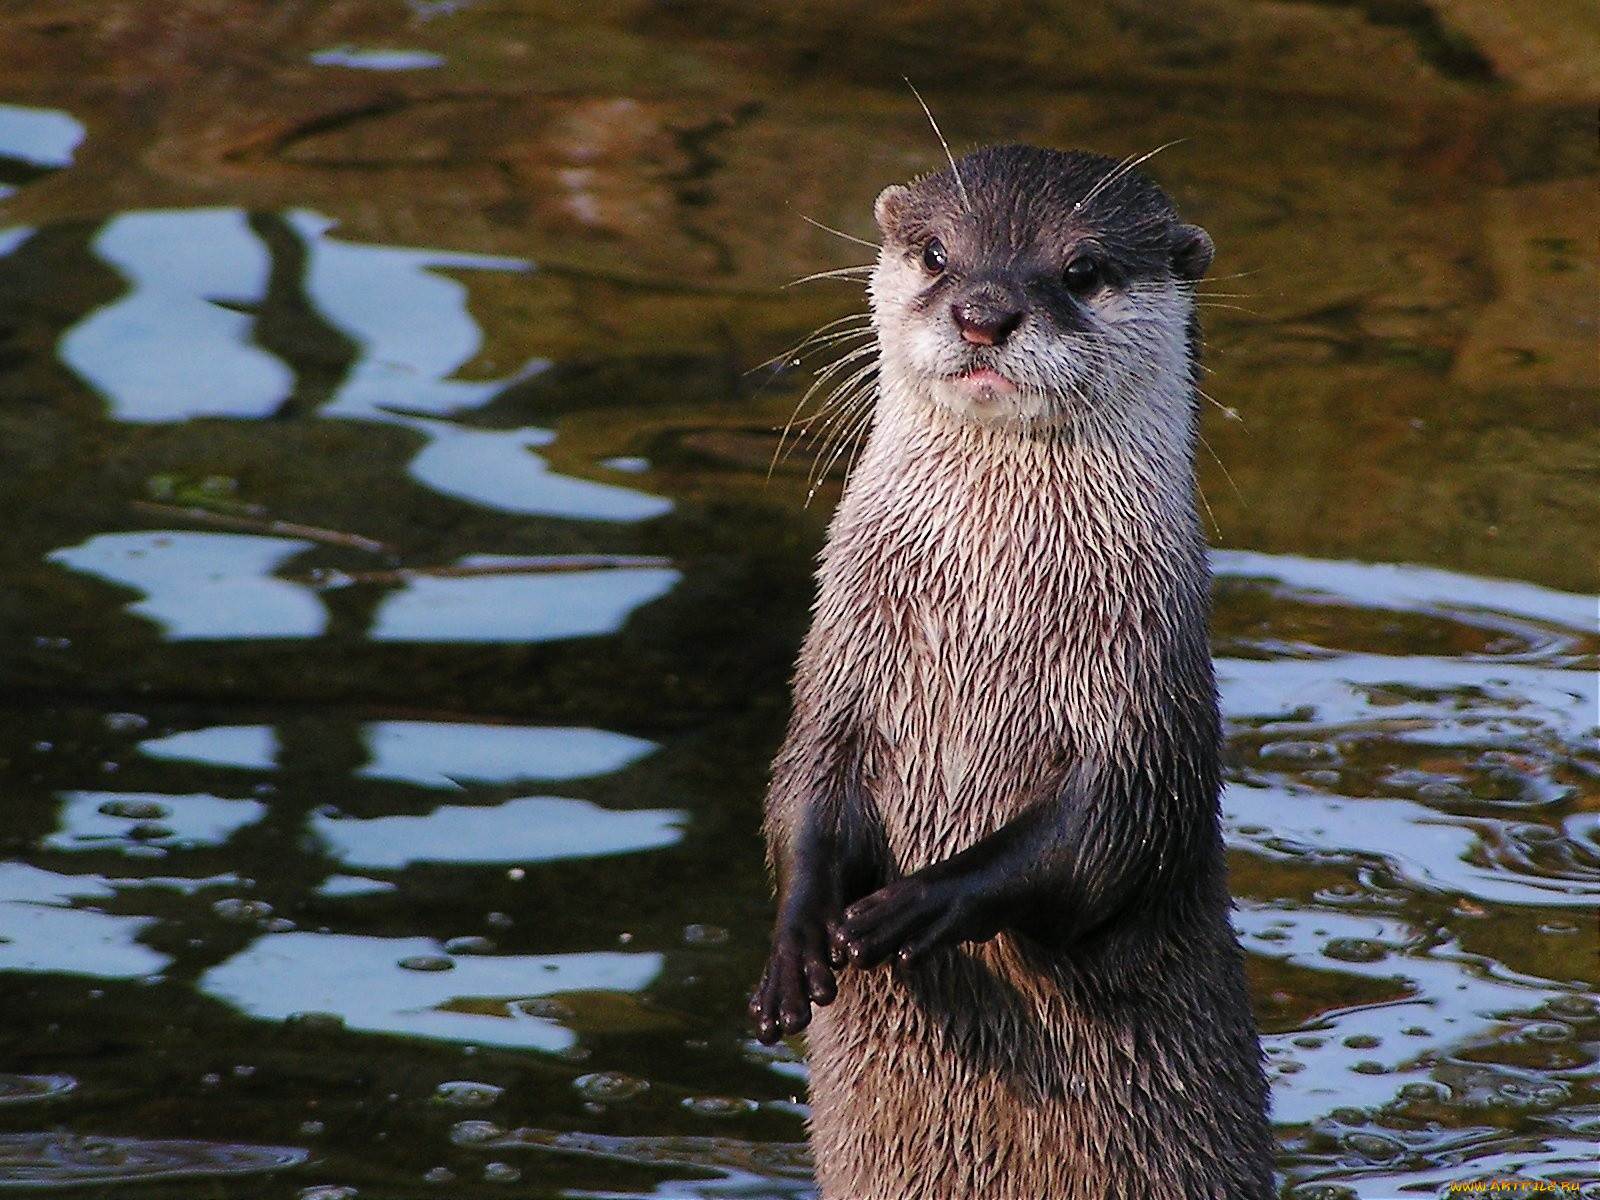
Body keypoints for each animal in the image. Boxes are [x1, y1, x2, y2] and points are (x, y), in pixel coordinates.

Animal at [748, 145, 1273, 1196]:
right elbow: (801, 791)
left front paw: (912, 904)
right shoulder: (837, 670)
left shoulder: (1145, 706)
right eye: (937, 253)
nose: (984, 312)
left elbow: (1105, 837)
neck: (986, 608)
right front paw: (798, 942)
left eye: (1080, 269)